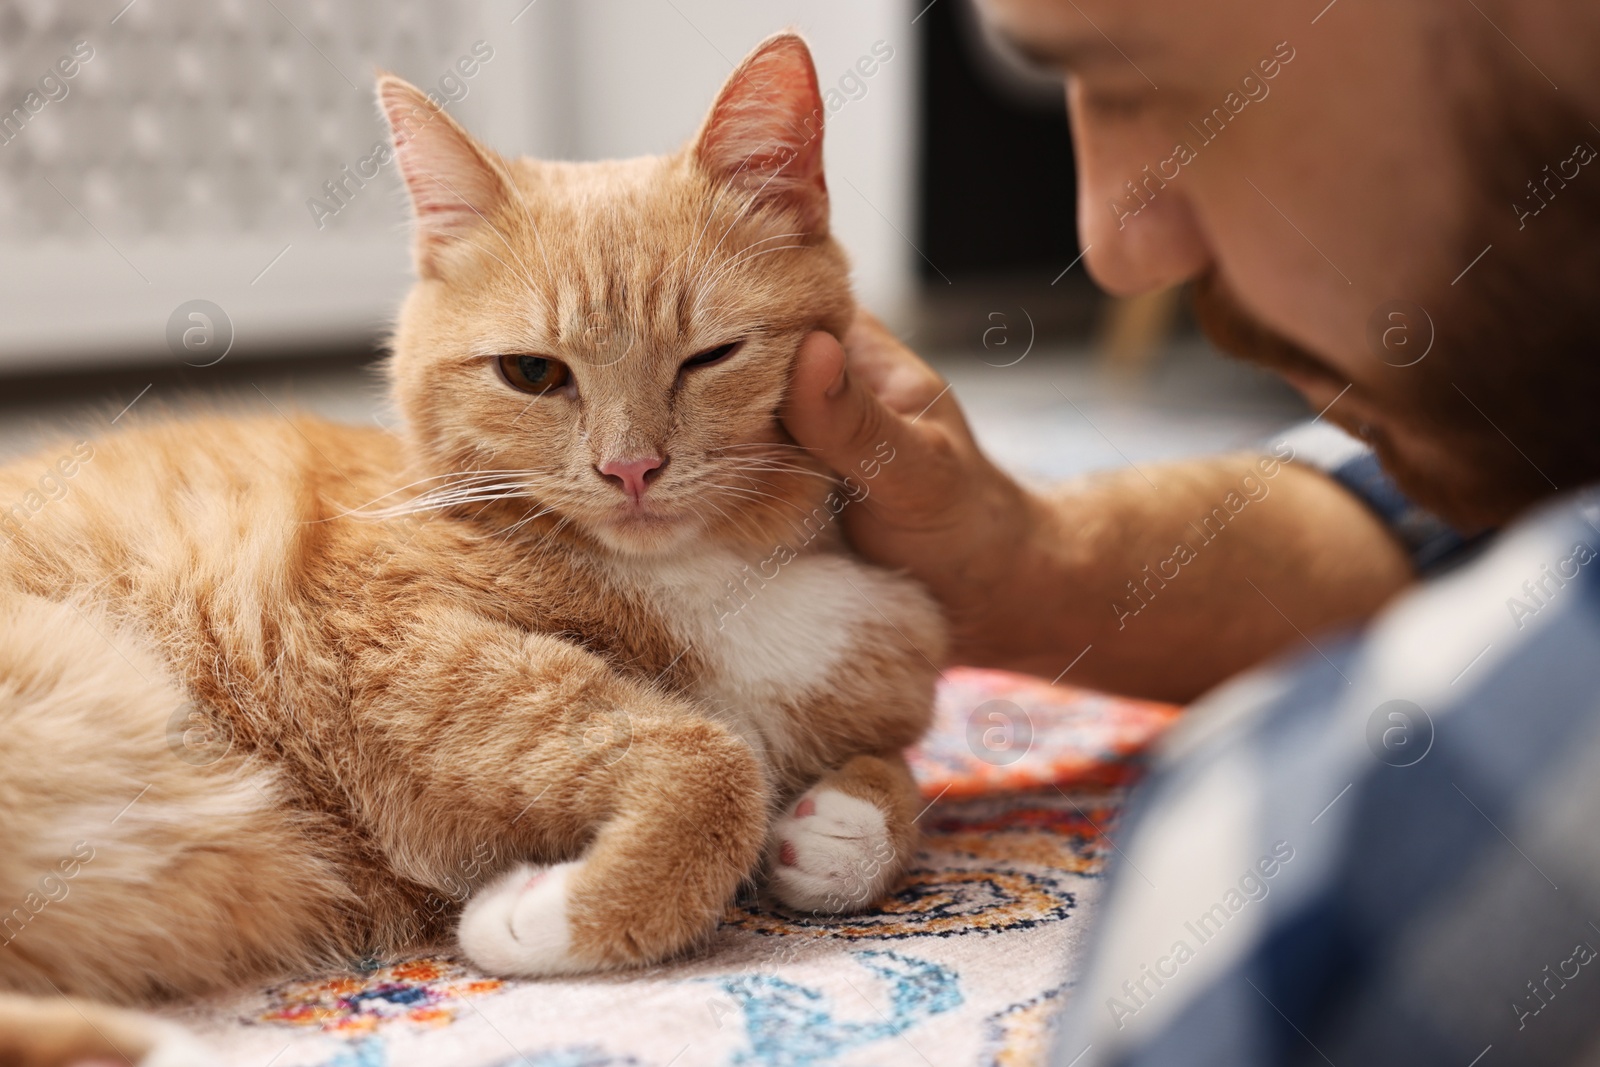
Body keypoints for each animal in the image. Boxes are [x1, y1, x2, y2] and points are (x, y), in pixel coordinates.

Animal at [0, 35, 940, 1067]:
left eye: (709, 357)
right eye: (532, 373)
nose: (631, 468)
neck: (713, 576)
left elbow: (899, 777)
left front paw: (844, 826)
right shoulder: (392, 647)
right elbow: (710, 762)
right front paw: (556, 913)